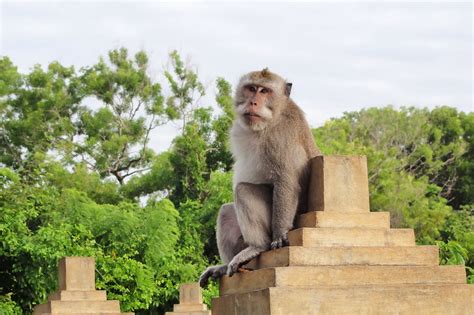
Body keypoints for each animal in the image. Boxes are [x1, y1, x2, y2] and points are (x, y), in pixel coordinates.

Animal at [198, 68, 320, 288]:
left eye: (265, 91)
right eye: (252, 88)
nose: (253, 102)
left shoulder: (281, 137)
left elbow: (286, 180)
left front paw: (280, 235)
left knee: (243, 190)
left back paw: (257, 246)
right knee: (226, 211)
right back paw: (224, 266)